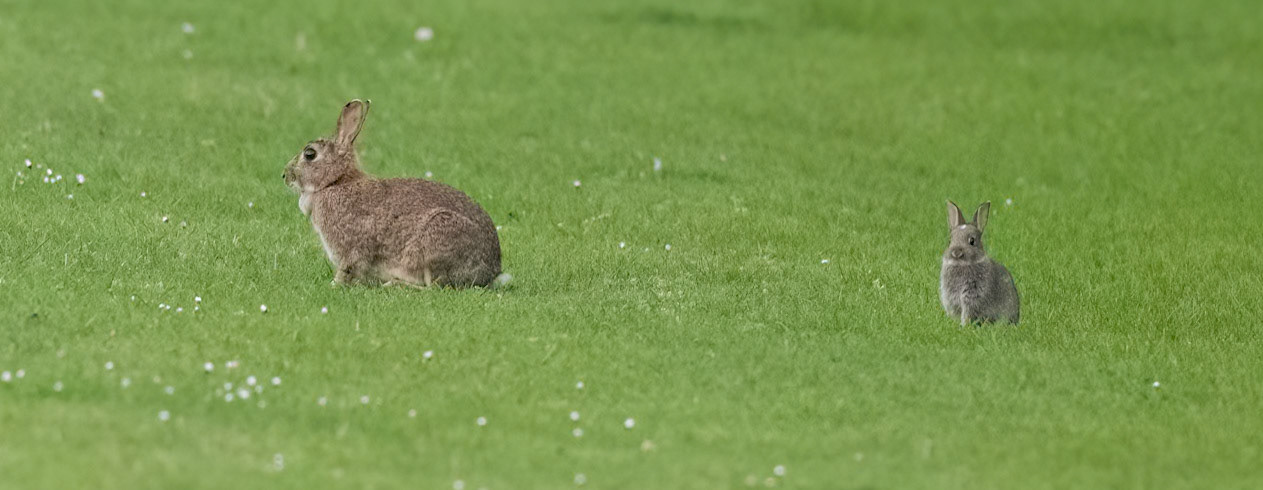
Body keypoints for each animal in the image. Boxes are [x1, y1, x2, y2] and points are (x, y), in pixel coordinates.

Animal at [282, 99, 503, 288]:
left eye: (309, 154)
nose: (285, 175)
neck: (334, 182)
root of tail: (491, 272)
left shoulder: (352, 248)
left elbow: (348, 268)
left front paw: (334, 285)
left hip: (435, 242)